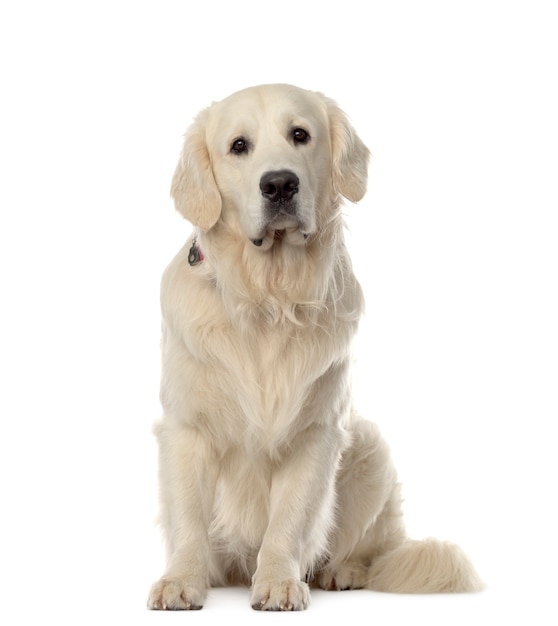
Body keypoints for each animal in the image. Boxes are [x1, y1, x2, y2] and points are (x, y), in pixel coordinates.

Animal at [149, 83, 486, 608]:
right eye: (239, 146)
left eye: (300, 135)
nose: (280, 185)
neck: (269, 299)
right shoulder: (187, 426)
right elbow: (188, 516)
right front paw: (181, 581)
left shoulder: (317, 431)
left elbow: (290, 519)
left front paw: (279, 582)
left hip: (369, 445)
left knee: (370, 548)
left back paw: (340, 570)